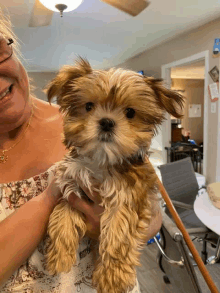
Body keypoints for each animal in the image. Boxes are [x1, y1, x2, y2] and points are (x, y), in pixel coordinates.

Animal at [44, 57, 184, 292]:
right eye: (88, 106)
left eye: (130, 113)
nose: (107, 122)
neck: (102, 160)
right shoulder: (74, 186)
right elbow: (61, 213)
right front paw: (59, 255)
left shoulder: (128, 196)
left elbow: (119, 233)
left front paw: (112, 277)